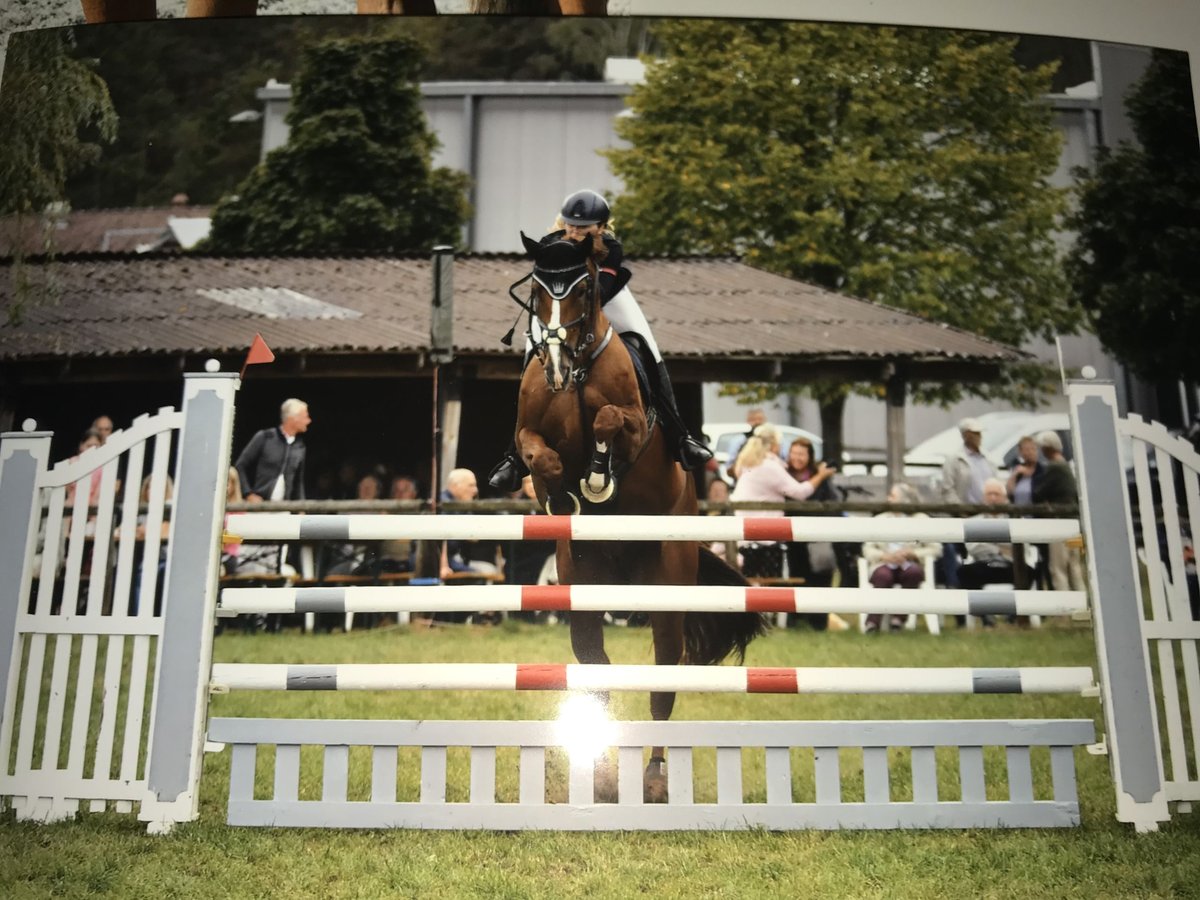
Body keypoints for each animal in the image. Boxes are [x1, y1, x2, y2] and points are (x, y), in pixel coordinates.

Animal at [506, 232, 768, 801]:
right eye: (537, 290)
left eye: (583, 289)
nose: (555, 367)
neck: (579, 370)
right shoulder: (529, 433)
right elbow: (539, 456)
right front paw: (561, 493)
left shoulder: (631, 423)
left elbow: (608, 420)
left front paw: (597, 475)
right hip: (584, 595)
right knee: (598, 672)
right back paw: (604, 772)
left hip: (668, 592)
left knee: (662, 684)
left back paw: (653, 777)